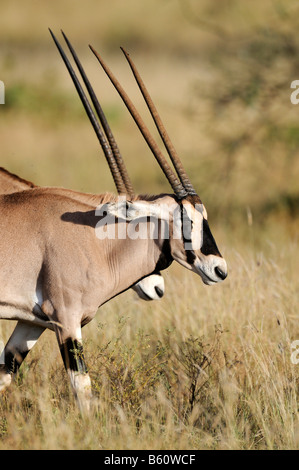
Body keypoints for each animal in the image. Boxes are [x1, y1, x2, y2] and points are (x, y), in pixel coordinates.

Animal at [0, 30, 227, 412]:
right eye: (183, 219)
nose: (219, 270)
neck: (93, 240)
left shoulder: (31, 324)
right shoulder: (67, 322)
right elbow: (84, 393)